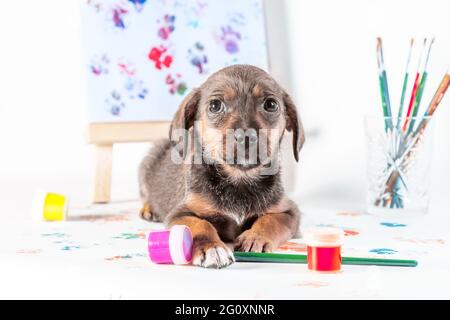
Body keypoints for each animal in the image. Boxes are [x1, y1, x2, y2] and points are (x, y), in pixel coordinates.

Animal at [138, 64, 306, 268]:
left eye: (271, 105)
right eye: (215, 106)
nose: (246, 137)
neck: (240, 178)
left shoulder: (289, 212)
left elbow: (271, 221)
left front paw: (255, 237)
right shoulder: (180, 214)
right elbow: (201, 224)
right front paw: (212, 248)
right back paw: (149, 208)